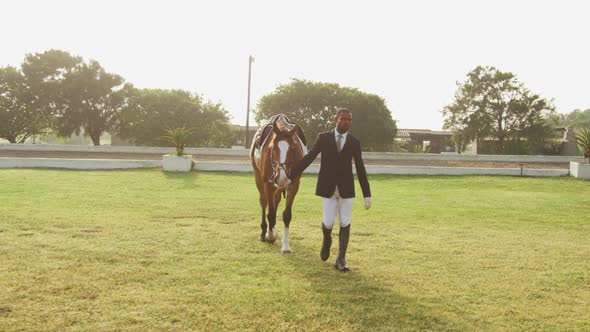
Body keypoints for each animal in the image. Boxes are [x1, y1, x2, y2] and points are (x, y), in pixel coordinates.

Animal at [250, 114, 308, 254]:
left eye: (293, 148)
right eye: (273, 148)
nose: (282, 177)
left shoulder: (294, 184)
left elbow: (287, 215)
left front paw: (285, 245)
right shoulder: (268, 183)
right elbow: (270, 213)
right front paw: (269, 235)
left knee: (275, 200)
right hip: (259, 177)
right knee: (264, 202)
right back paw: (264, 231)